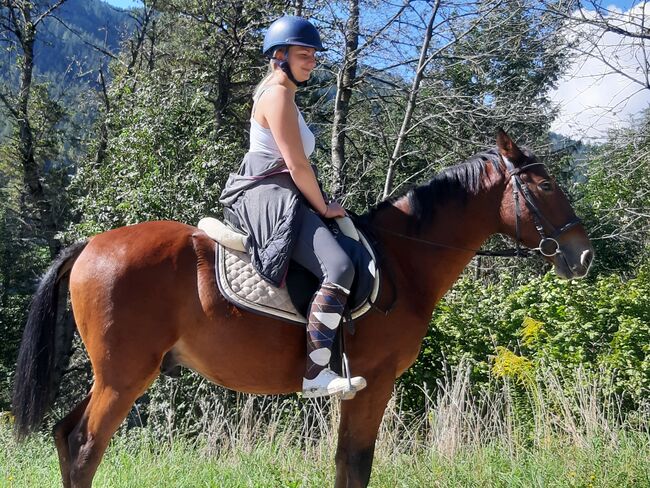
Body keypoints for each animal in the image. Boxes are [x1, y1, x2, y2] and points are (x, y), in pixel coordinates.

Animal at [12, 131, 592, 488]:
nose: (583, 255)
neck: (403, 259)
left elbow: (344, 464)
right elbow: (357, 464)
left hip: (114, 374)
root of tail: (90, 244)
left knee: (65, 435)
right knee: (85, 445)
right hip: (125, 375)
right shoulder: (375, 382)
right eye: (544, 185)